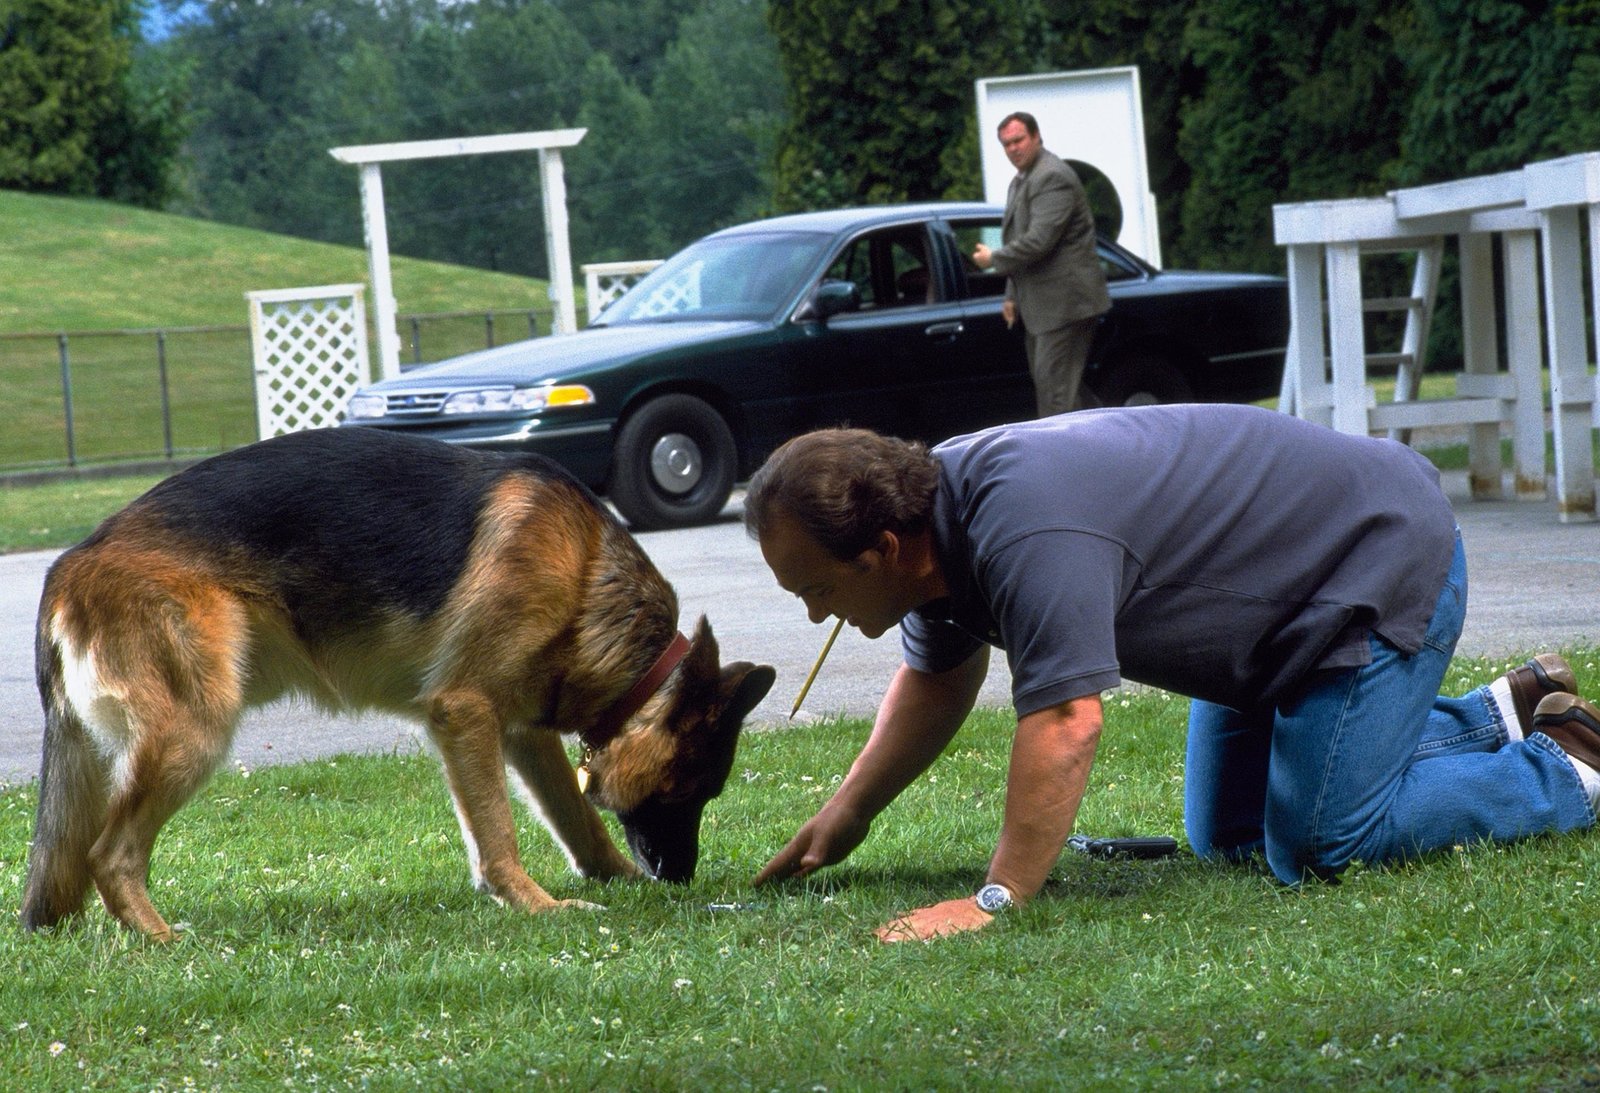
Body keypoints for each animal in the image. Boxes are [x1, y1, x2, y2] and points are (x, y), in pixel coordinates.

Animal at [20, 428, 774, 940]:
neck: (588, 572)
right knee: (107, 854)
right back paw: (163, 940)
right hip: (193, 734)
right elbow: (497, 834)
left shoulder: (523, 733)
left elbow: (578, 819)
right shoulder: (466, 712)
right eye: (689, 789)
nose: (680, 879)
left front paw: (613, 879)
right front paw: (536, 906)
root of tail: (67, 563)